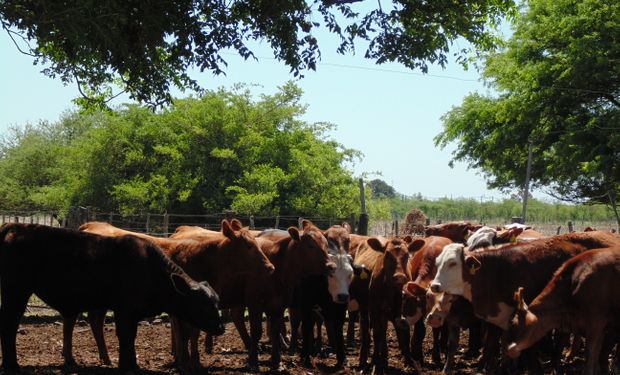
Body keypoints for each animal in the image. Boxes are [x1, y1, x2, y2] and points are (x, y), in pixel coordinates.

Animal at [0, 223, 223, 374]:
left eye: (216, 302)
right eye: (203, 304)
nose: (221, 327)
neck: (151, 269)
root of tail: (15, 227)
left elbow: (130, 337)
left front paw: (133, 364)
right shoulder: (124, 310)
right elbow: (125, 336)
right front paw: (127, 366)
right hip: (16, 291)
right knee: (9, 324)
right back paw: (12, 366)